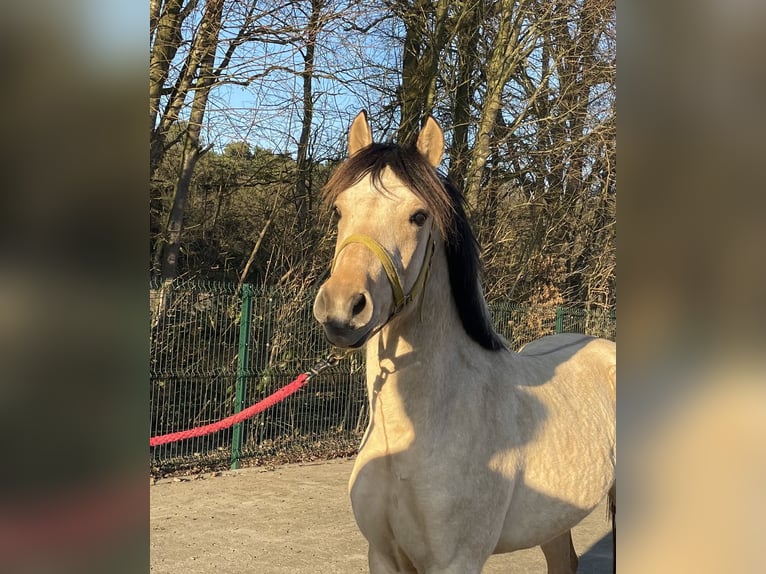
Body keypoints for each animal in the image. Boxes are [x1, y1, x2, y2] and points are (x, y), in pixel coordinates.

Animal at [312, 112, 616, 574]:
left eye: (419, 216)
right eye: (339, 210)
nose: (343, 308)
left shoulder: (457, 561)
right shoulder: (382, 555)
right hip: (554, 520)